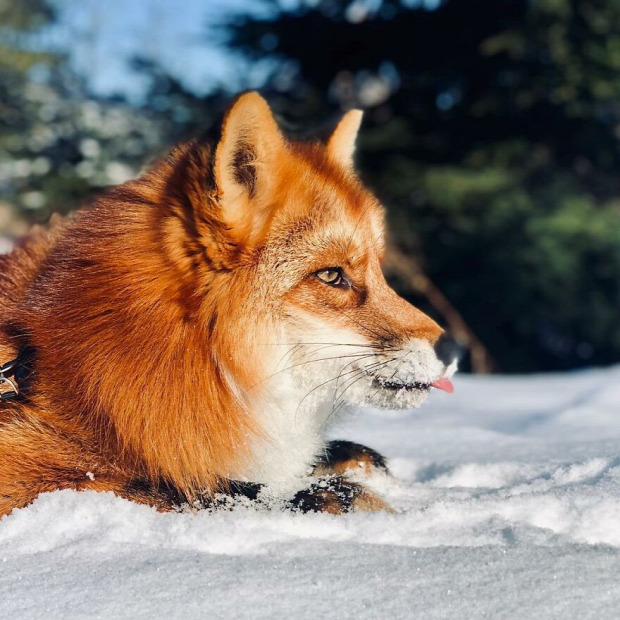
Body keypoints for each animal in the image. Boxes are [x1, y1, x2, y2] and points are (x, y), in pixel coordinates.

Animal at [0, 92, 456, 516]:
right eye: (331, 276)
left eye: (379, 270)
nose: (453, 349)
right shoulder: (26, 470)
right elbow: (206, 491)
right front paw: (330, 494)